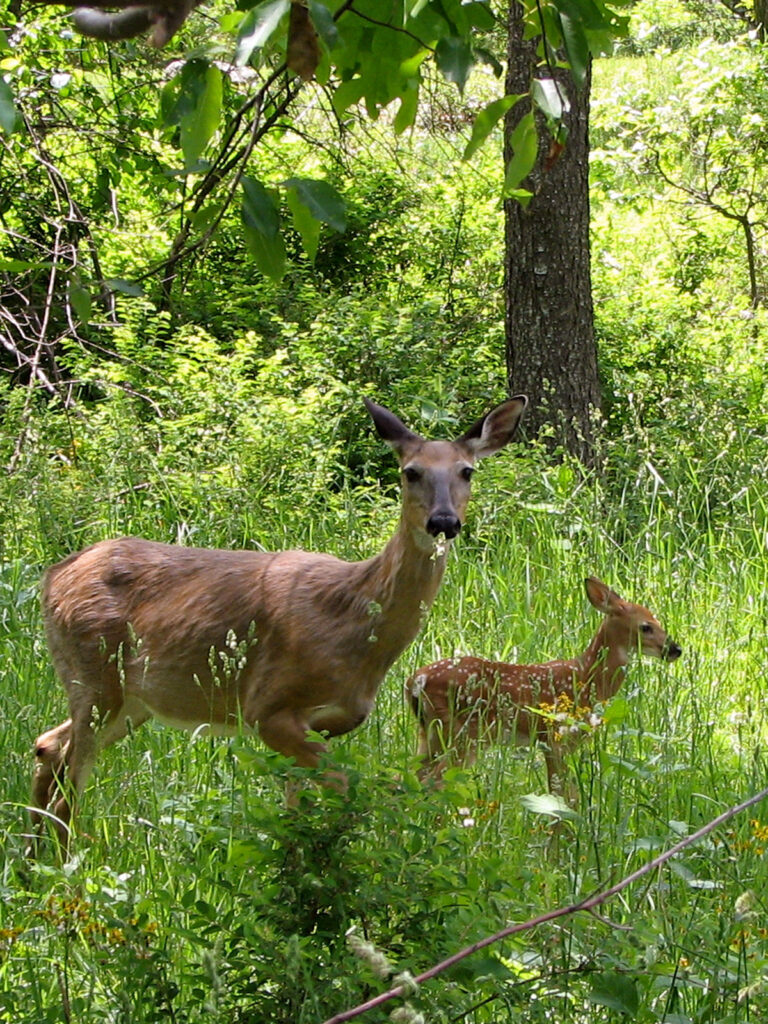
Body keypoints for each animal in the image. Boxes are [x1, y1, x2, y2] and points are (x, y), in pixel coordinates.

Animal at [27, 391, 528, 847]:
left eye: (467, 470)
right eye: (411, 471)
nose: (444, 521)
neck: (356, 622)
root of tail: (53, 576)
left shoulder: (328, 721)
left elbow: (296, 811)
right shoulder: (266, 706)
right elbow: (345, 789)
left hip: (134, 700)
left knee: (48, 746)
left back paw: (35, 862)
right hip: (95, 674)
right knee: (68, 781)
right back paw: (65, 867)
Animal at [405, 577, 684, 798]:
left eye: (658, 621)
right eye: (645, 626)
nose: (675, 649)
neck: (587, 678)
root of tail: (416, 680)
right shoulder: (554, 737)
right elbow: (563, 796)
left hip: (429, 732)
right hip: (463, 732)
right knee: (434, 783)